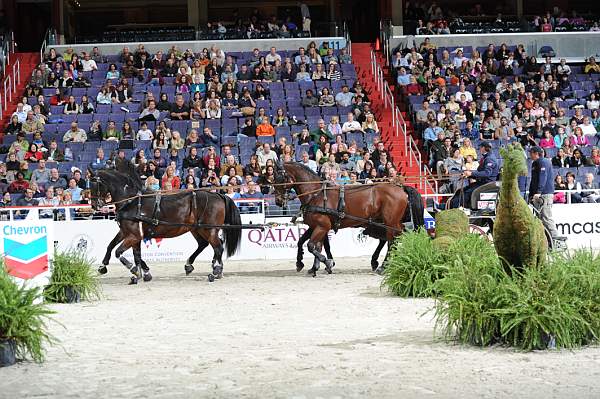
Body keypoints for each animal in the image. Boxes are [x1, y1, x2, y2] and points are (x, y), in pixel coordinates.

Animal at [90, 169, 240, 284]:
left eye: (94, 185)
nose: (94, 205)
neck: (131, 202)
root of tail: (218, 194)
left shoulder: (134, 235)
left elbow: (119, 252)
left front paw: (133, 269)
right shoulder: (128, 233)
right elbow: (117, 248)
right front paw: (105, 267)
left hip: (208, 229)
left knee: (218, 247)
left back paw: (215, 272)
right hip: (198, 229)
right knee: (206, 244)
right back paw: (194, 266)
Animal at [274, 162, 424, 276]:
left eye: (279, 178)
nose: (278, 201)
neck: (316, 194)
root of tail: (401, 188)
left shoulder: (322, 226)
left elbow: (312, 246)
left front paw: (326, 262)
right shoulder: (316, 226)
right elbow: (305, 243)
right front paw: (305, 264)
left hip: (390, 222)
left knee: (392, 241)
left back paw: (383, 265)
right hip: (388, 222)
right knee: (391, 238)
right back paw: (379, 262)